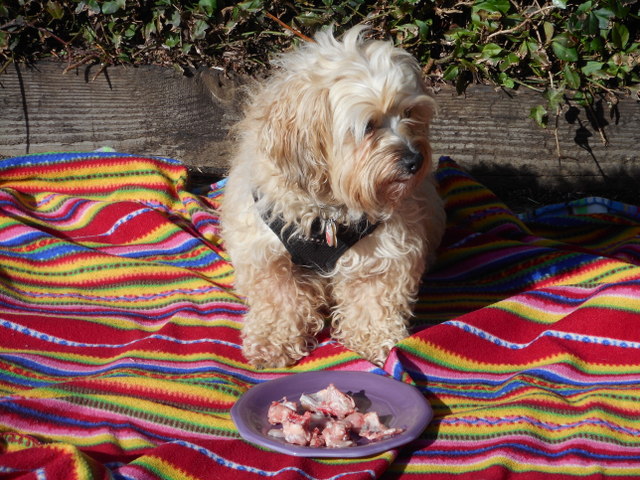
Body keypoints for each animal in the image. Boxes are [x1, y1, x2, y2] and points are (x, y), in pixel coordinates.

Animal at [220, 25, 444, 368]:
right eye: (368, 126)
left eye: (408, 113)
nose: (414, 161)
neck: (328, 211)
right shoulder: (267, 254)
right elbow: (278, 300)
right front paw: (272, 341)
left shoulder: (384, 253)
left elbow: (374, 301)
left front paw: (376, 340)